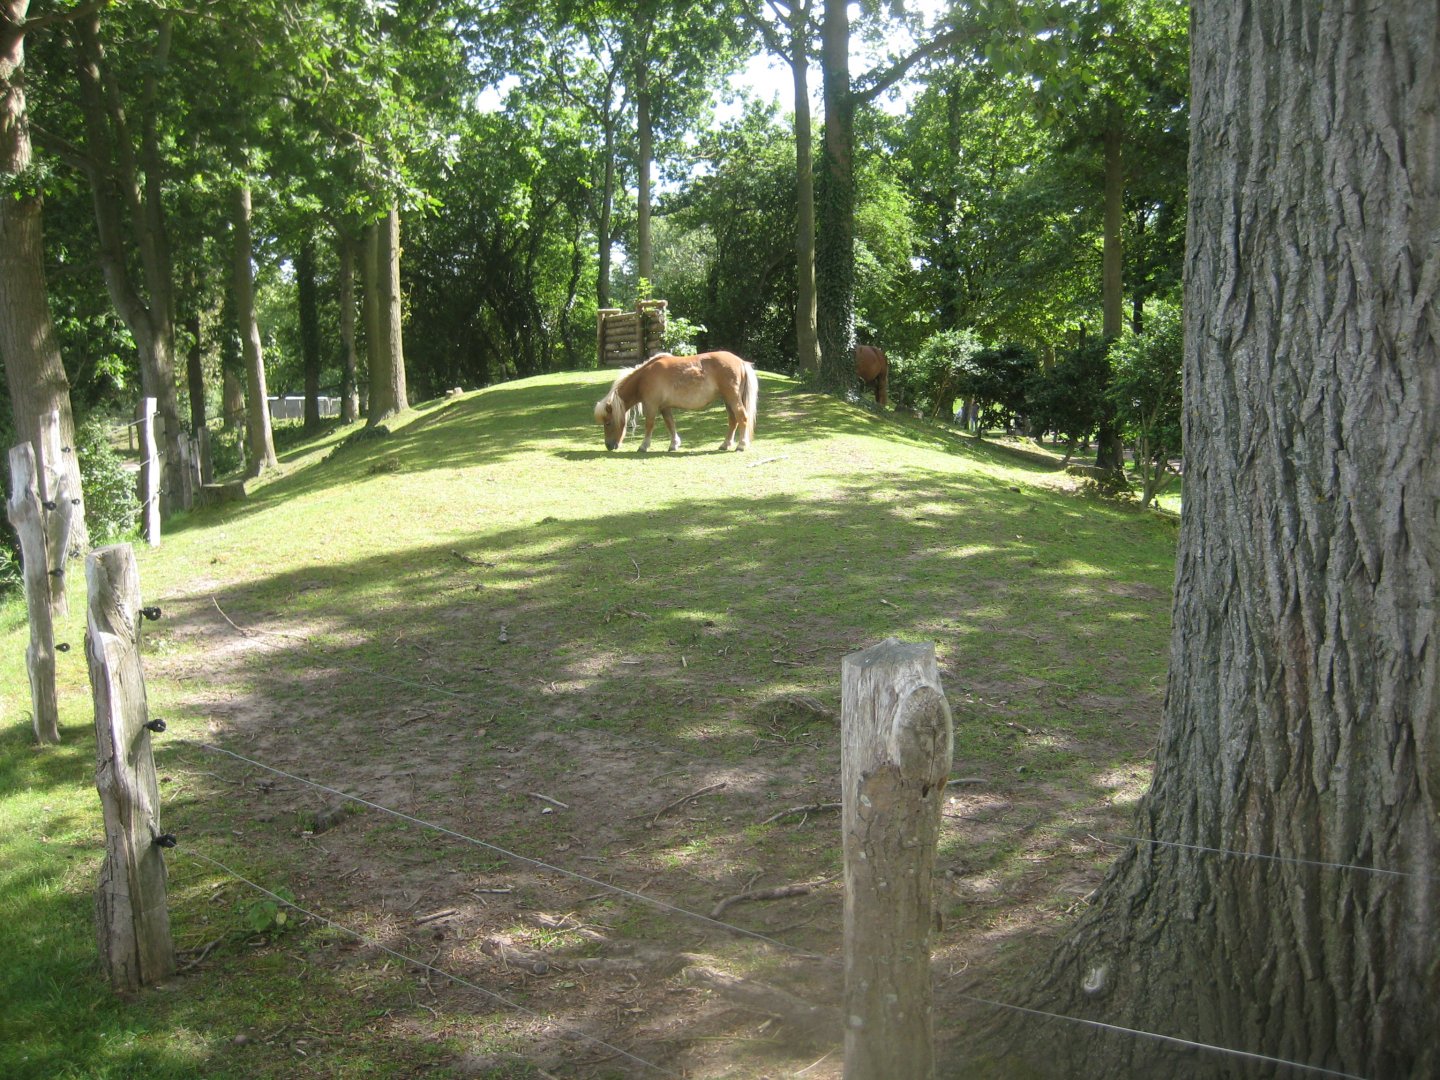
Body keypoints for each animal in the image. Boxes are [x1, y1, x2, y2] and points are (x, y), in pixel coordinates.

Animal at [594, 351, 758, 452]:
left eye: (608, 423)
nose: (609, 446)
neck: (644, 376)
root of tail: (741, 362)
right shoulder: (665, 407)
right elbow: (670, 424)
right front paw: (674, 444)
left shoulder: (651, 405)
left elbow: (649, 425)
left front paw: (644, 446)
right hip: (727, 400)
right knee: (733, 420)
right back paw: (725, 444)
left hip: (732, 398)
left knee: (742, 417)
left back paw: (741, 445)